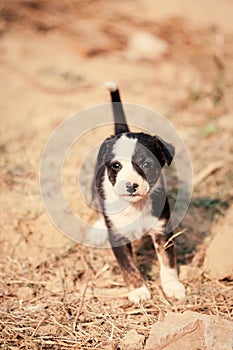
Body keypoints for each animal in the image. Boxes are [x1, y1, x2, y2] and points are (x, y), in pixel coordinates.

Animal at [90, 82, 185, 304]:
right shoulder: (118, 237)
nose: (130, 185)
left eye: (147, 164)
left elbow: (168, 262)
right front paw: (139, 291)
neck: (135, 206)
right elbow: (129, 266)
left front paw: (173, 287)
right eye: (116, 165)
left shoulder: (162, 230)